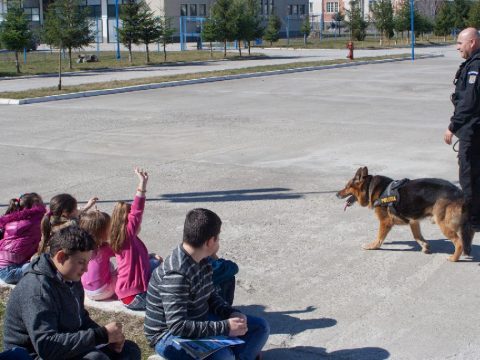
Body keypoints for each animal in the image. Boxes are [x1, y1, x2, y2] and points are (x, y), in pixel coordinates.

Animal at [336, 166, 474, 262]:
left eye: (346, 187)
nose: (336, 194)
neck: (370, 187)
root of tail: (459, 192)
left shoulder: (385, 222)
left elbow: (379, 237)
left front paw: (373, 246)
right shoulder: (413, 221)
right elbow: (417, 236)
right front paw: (425, 246)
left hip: (443, 224)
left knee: (459, 242)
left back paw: (454, 258)